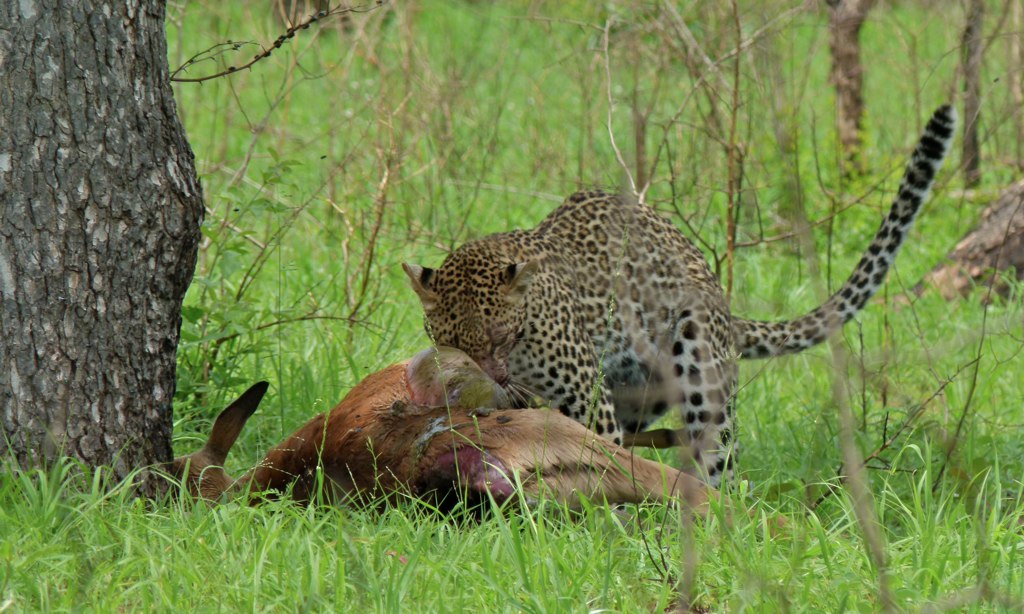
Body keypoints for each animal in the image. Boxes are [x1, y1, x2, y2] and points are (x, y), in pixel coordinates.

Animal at [403, 105, 954, 485]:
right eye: (450, 344)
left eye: (500, 337)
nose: (486, 385)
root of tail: (721, 299)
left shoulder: (585, 397)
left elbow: (596, 457)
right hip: (638, 393)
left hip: (698, 369)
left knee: (719, 462)